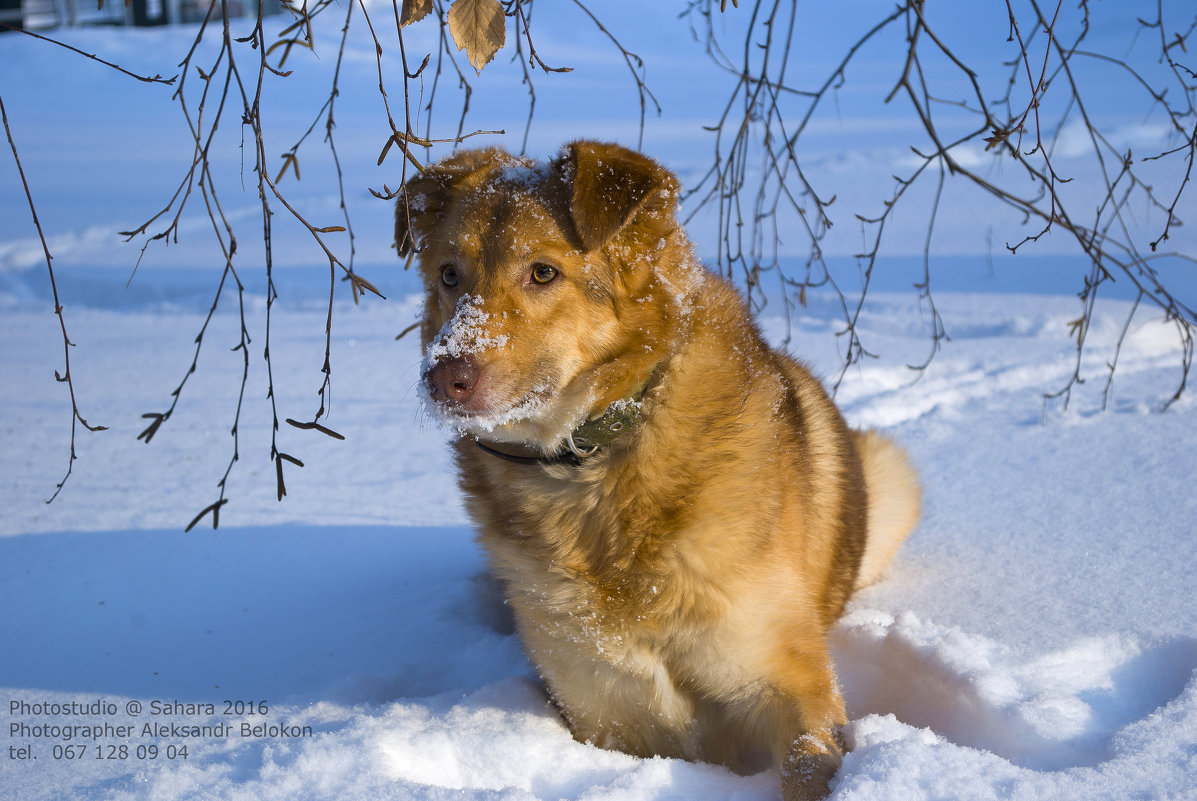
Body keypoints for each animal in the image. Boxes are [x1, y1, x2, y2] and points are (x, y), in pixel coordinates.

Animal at [397, 140, 919, 795]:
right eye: (449, 275)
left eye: (543, 272)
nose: (443, 377)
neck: (592, 461)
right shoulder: (609, 713)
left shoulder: (788, 685)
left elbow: (807, 765)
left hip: (891, 479)